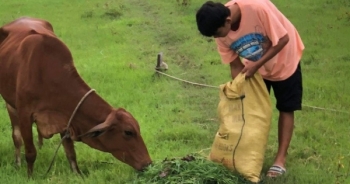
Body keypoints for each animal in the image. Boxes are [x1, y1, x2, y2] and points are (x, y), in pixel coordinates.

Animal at [0, 17, 151, 177]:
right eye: (128, 132)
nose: (148, 163)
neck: (48, 75)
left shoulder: (64, 118)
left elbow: (70, 152)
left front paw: (77, 173)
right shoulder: (25, 114)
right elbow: (30, 152)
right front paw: (30, 176)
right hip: (10, 104)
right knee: (16, 137)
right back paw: (17, 162)